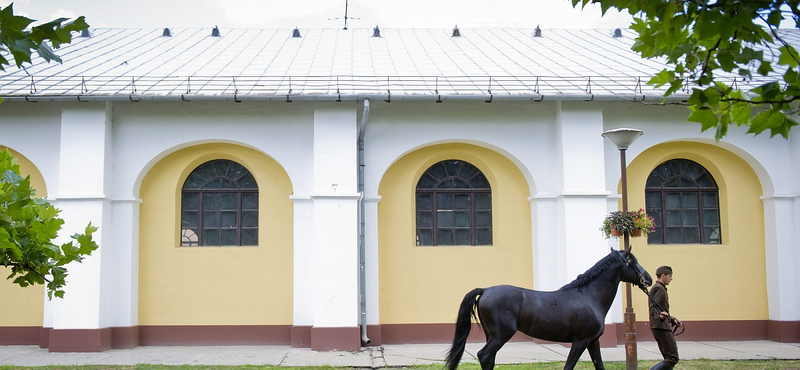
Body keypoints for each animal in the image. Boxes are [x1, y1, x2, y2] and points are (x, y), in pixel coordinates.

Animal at [446, 247, 652, 370]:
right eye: (633, 261)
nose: (648, 279)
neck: (589, 295)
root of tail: (485, 290)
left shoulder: (593, 342)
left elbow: (599, 365)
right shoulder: (581, 341)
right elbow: (568, 366)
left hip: (492, 335)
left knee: (489, 358)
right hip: (500, 336)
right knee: (485, 355)